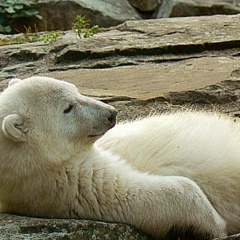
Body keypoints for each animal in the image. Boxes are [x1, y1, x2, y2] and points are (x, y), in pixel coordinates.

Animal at [0, 76, 229, 239]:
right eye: (68, 108)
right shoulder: (72, 182)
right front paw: (217, 224)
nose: (111, 113)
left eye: (75, 89)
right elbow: (147, 193)